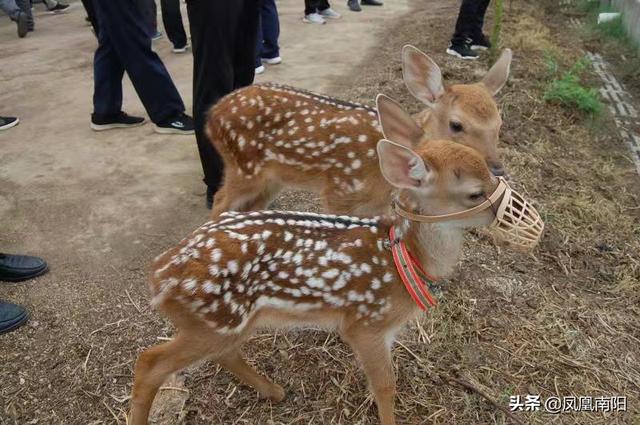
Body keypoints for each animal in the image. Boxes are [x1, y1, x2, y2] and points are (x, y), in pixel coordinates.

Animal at [208, 46, 512, 217]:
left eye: (500, 125)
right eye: (456, 125)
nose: (497, 168)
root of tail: (212, 115)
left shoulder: (375, 206)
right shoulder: (339, 193)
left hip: (272, 178)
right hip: (243, 166)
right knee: (220, 201)